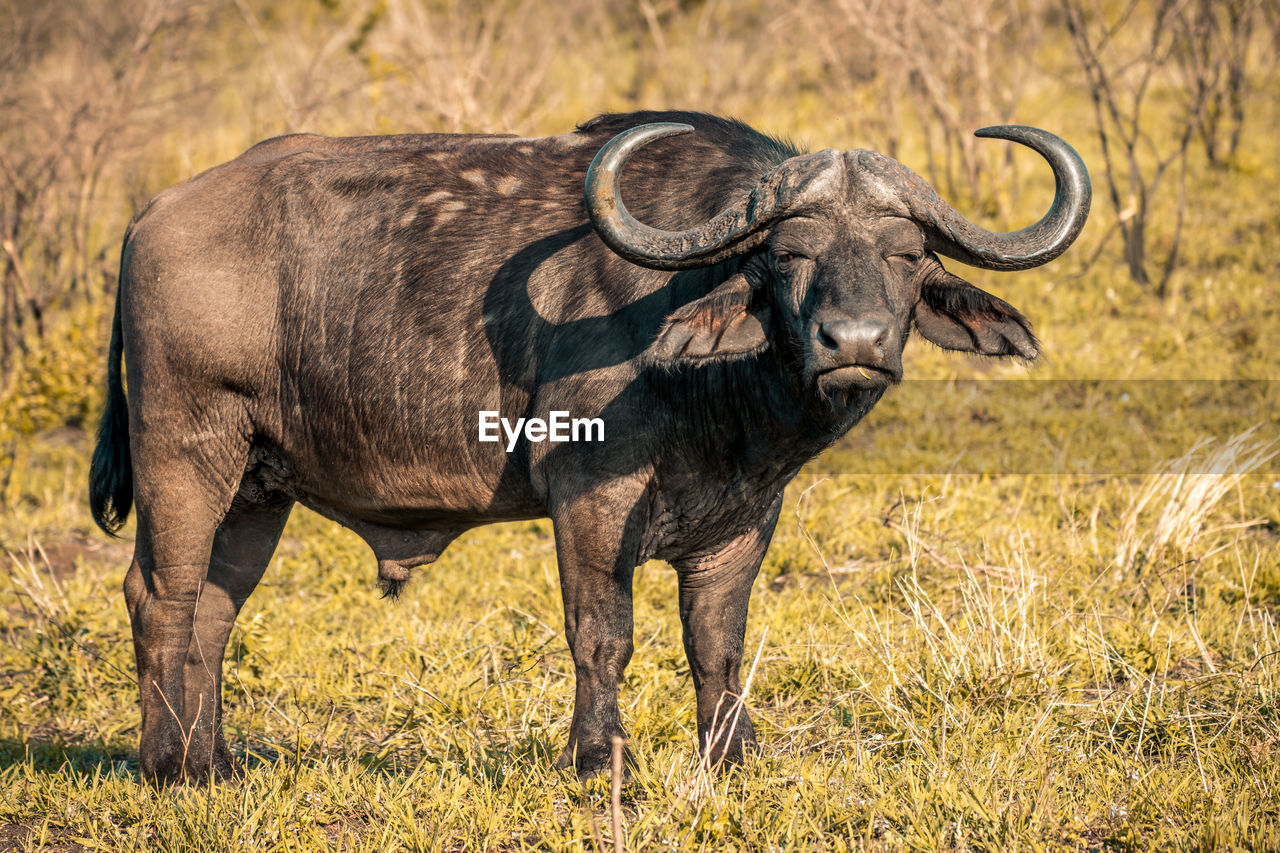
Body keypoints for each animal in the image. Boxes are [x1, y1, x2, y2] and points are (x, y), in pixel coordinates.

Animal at [92, 109, 1090, 778]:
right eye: (787, 255)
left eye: (909, 257)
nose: (855, 342)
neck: (719, 396)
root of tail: (150, 214)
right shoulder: (588, 500)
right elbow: (603, 633)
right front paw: (603, 760)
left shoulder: (743, 520)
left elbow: (716, 644)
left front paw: (728, 757)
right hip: (184, 450)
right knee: (160, 595)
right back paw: (165, 765)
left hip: (258, 485)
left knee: (213, 608)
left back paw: (216, 761)